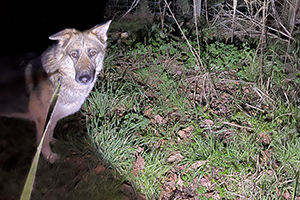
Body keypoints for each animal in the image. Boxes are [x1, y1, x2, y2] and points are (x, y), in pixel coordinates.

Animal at [0, 20, 111, 163]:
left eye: (92, 53)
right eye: (74, 54)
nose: (84, 79)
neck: (60, 75)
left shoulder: (52, 117)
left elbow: (50, 132)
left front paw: (52, 140)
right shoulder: (42, 119)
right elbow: (43, 141)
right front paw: (49, 156)